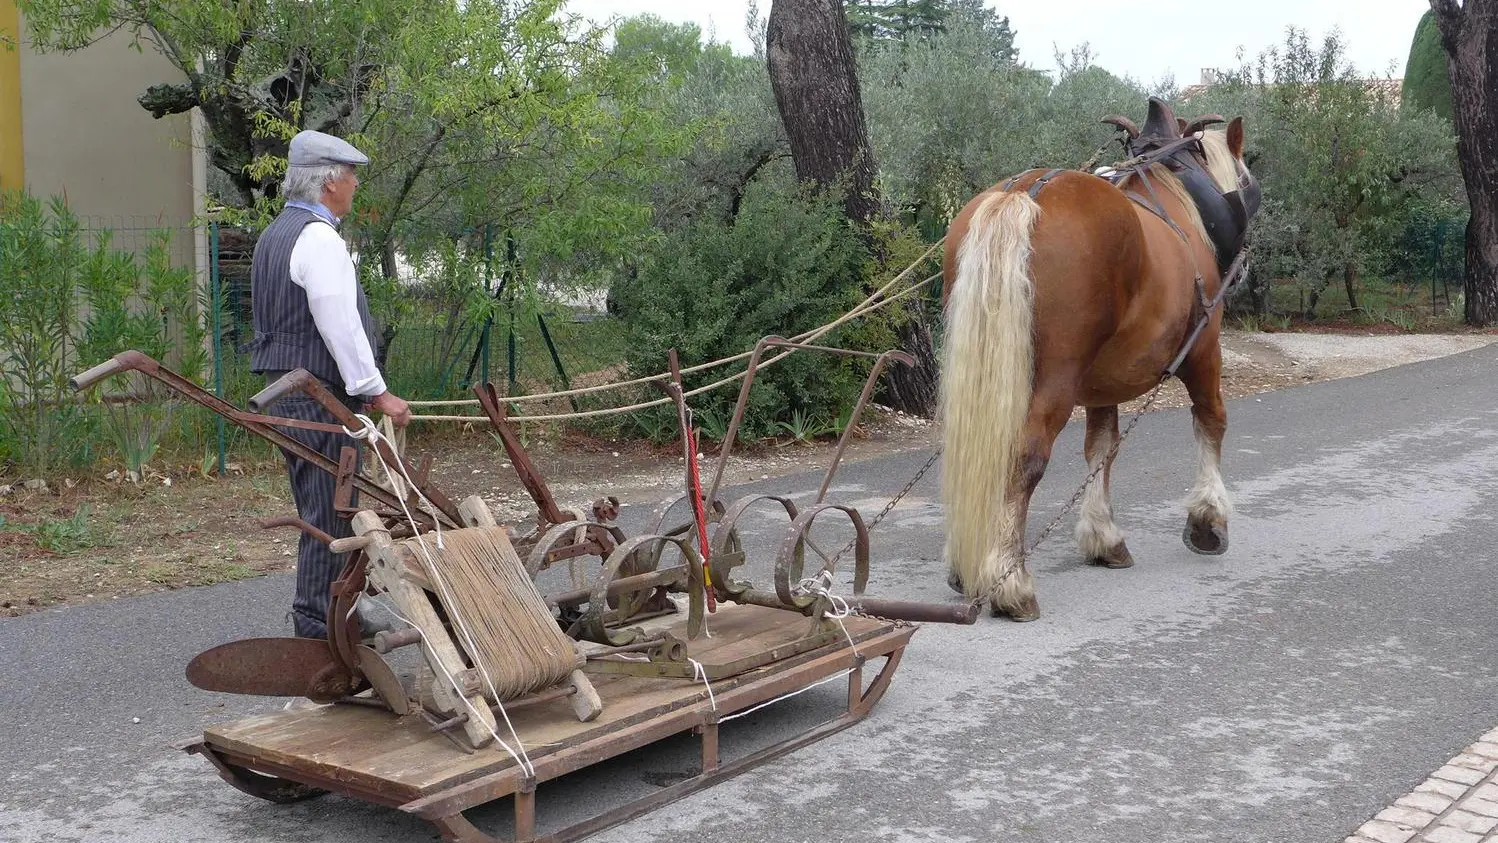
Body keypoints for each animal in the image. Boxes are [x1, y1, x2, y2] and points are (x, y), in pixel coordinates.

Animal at [940, 98, 1258, 622]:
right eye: (1249, 180)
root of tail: (1024, 194)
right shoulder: (1205, 346)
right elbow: (1211, 419)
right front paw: (1208, 521)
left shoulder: (1101, 383)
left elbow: (1101, 448)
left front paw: (1102, 537)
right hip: (1054, 379)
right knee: (1023, 455)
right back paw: (1012, 582)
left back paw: (969, 566)